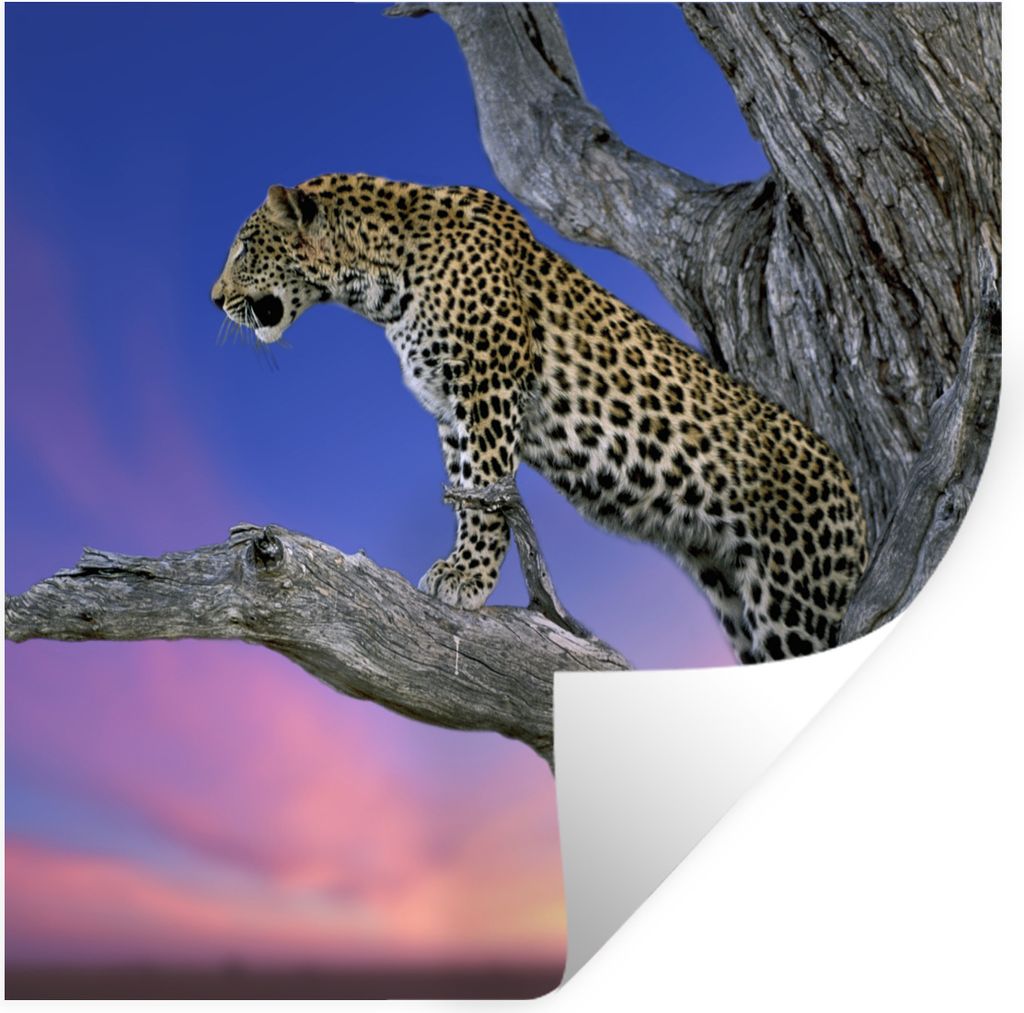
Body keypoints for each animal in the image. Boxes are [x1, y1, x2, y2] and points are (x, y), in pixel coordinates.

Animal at [211, 174, 868, 664]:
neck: (380, 281)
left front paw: (467, 580)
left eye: (243, 248)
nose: (215, 299)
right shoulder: (451, 406)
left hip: (793, 602)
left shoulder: (488, 384)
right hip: (732, 591)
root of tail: (855, 494)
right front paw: (460, 566)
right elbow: (467, 490)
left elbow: (486, 491)